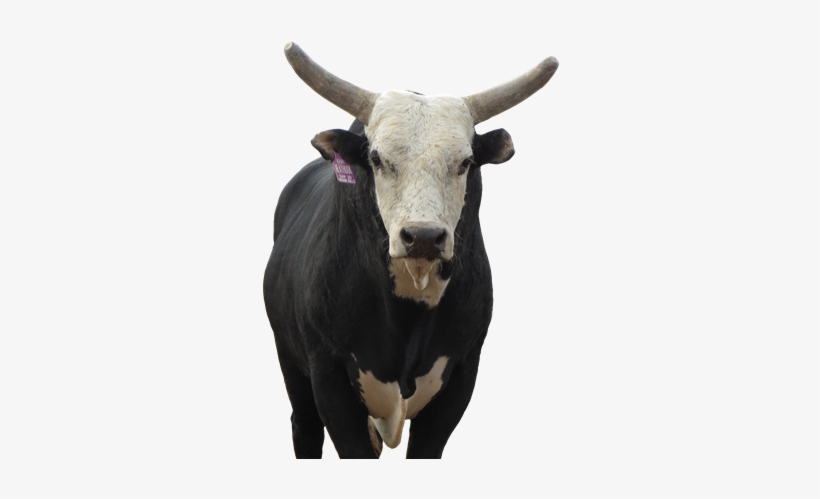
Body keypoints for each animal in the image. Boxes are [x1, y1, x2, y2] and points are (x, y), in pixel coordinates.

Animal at [264, 42, 558, 459]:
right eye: (377, 159)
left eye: (465, 162)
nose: (423, 236)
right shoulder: (328, 375)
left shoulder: (461, 376)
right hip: (290, 362)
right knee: (303, 426)